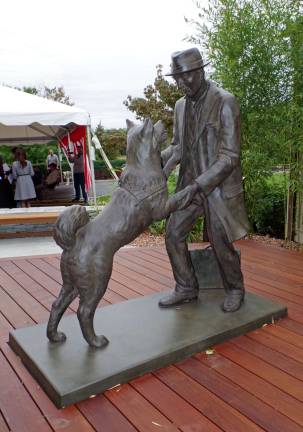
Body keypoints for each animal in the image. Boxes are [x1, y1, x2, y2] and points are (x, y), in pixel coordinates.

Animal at [47, 118, 180, 348]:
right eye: (152, 127)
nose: (162, 122)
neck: (142, 165)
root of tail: (73, 244)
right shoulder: (162, 208)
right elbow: (183, 193)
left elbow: (167, 159)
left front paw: (177, 150)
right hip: (97, 281)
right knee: (84, 311)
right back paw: (96, 342)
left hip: (71, 283)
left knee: (57, 304)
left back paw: (55, 336)